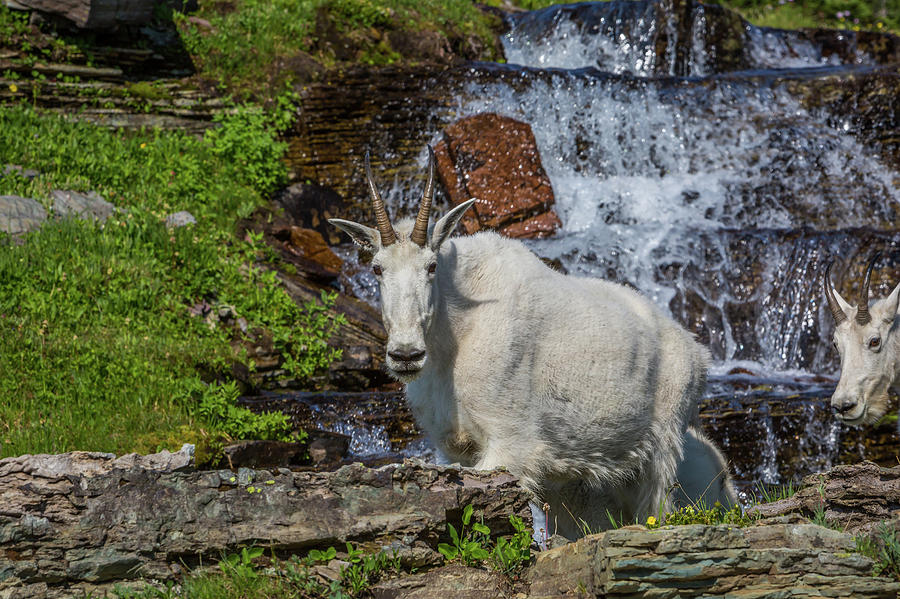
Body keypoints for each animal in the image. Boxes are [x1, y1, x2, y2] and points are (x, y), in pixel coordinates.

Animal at [326, 149, 736, 540]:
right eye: (377, 268)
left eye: (431, 266)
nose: (406, 355)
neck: (455, 334)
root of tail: (698, 355)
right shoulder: (457, 448)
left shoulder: (511, 441)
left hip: (662, 448)